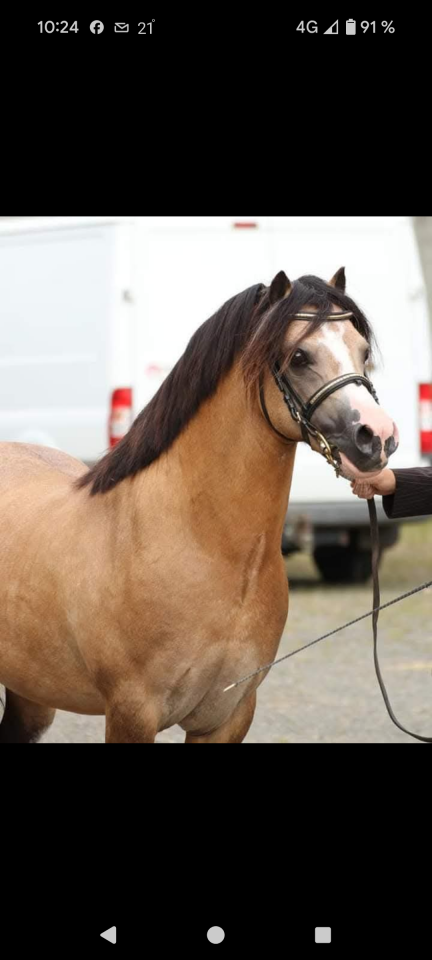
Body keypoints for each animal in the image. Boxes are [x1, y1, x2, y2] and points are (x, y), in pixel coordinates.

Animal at [0, 268, 399, 743]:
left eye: (362, 350)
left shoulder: (228, 715)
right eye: (299, 356)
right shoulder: (132, 713)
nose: (376, 436)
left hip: (31, 692)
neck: (202, 546)